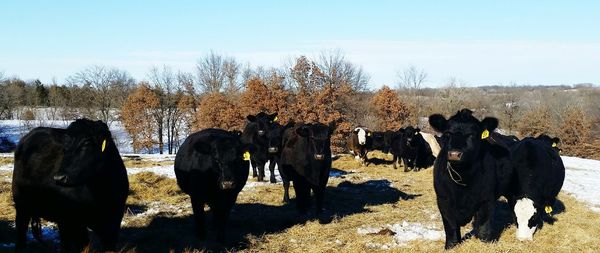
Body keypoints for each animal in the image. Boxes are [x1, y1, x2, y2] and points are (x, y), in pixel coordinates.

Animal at [12, 119, 129, 253]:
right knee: (21, 228)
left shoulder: (113, 223)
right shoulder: (76, 223)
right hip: (21, 203)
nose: (59, 178)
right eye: (64, 146)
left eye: (87, 143)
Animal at [426, 109, 516, 249]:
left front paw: (485, 242)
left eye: (472, 134)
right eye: (447, 133)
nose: (454, 154)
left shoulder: (487, 198)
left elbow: (484, 226)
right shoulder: (443, 199)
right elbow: (450, 225)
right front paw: (451, 245)